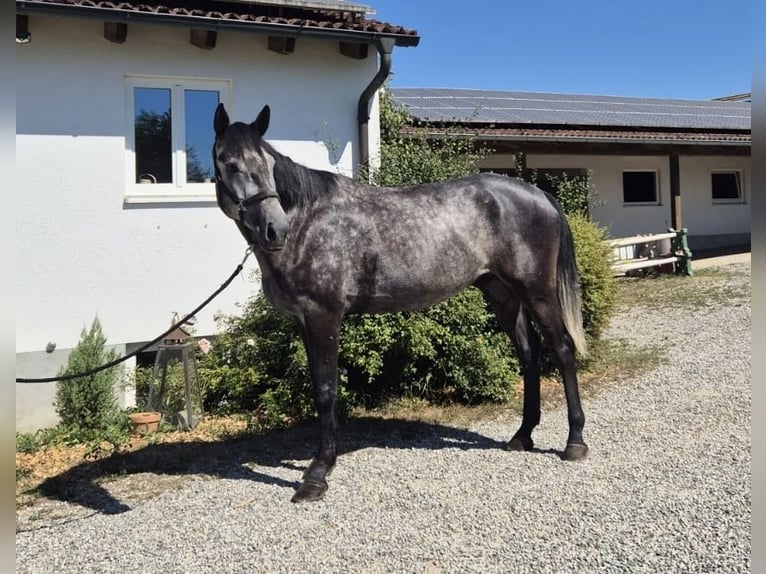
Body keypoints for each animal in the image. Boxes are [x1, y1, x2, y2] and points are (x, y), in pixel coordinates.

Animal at [212, 103, 590, 503]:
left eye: (269, 164)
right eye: (230, 163)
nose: (275, 229)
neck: (308, 223)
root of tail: (539, 194)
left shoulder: (323, 316)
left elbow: (326, 391)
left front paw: (317, 475)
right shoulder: (303, 320)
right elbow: (319, 387)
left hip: (537, 291)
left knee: (562, 349)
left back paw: (574, 442)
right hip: (502, 293)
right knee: (529, 353)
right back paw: (522, 435)